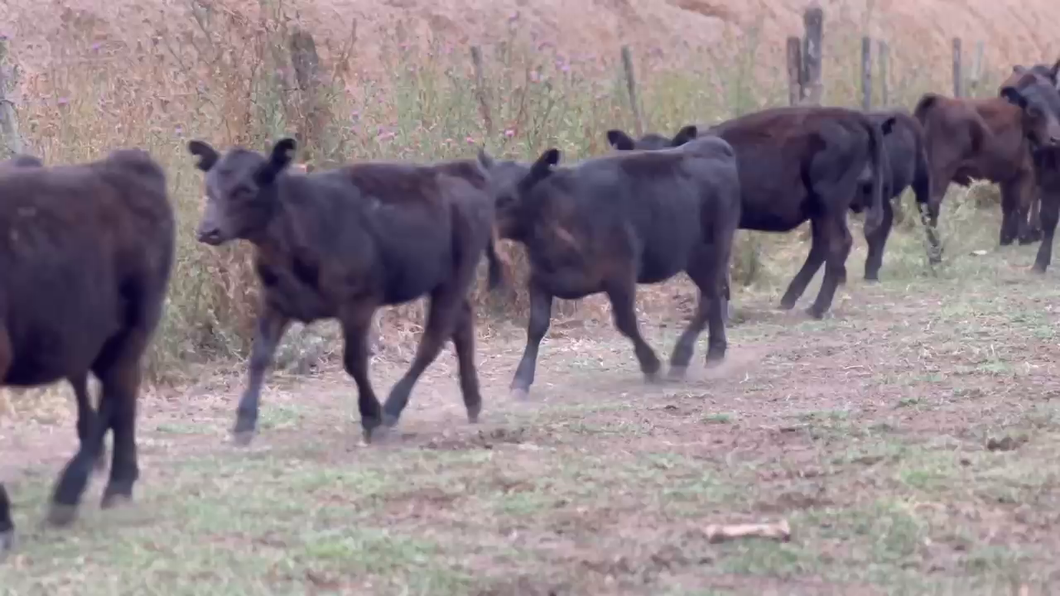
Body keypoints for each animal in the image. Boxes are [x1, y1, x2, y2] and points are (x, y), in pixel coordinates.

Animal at [915, 68, 1060, 246]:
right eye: (1033, 110)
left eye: (1058, 106)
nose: (1055, 138)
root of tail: (937, 100)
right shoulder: (1028, 171)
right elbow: (1024, 204)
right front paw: (1025, 237)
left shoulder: (1009, 173)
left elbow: (1009, 205)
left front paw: (1006, 238)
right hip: (940, 173)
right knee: (930, 209)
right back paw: (936, 249)